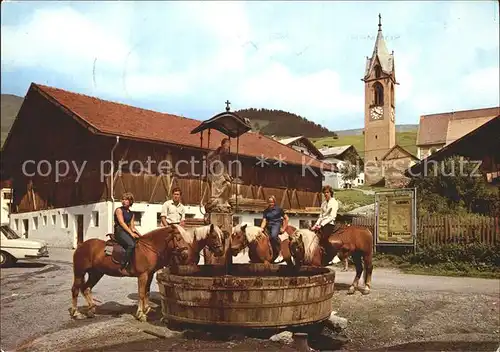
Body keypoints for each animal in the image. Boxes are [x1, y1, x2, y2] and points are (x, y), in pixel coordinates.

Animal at [70, 224, 225, 320]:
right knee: (76, 290)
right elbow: (141, 293)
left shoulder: (150, 274)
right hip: (80, 272)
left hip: (96, 273)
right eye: (178, 238)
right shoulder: (143, 275)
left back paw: (91, 309)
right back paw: (76, 313)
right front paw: (141, 314)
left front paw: (146, 309)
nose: (185, 254)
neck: (150, 247)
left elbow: (146, 292)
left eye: (222, 237)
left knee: (86, 288)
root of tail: (81, 245)